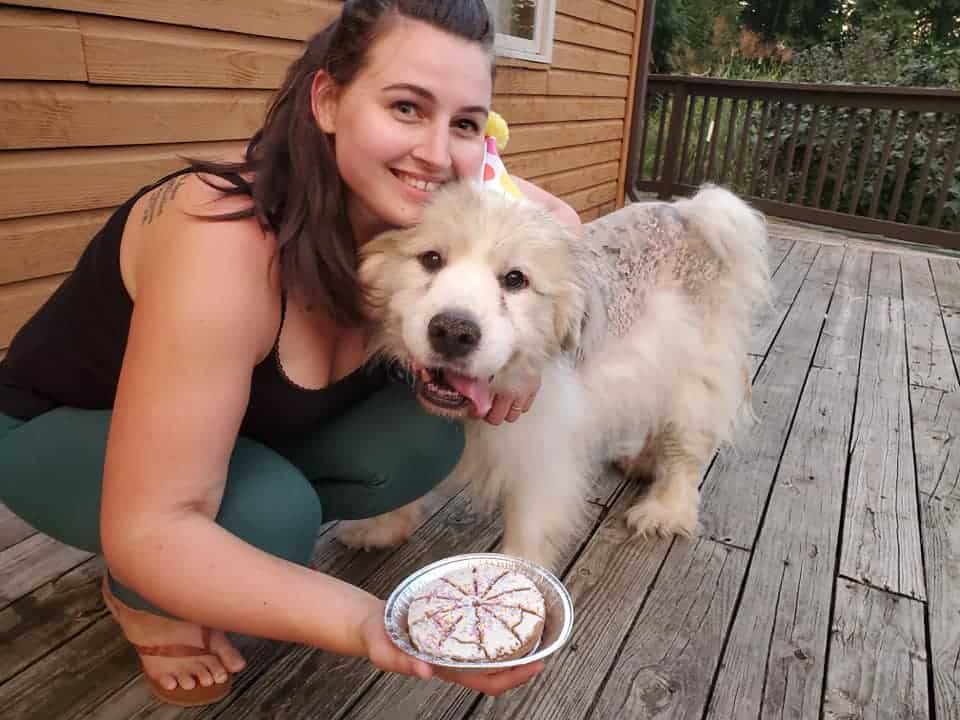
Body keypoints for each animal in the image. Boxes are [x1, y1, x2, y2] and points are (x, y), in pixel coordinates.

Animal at [334, 183, 768, 572]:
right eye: (431, 258)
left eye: (515, 279)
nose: (453, 332)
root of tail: (690, 212)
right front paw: (379, 527)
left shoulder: (543, 446)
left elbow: (531, 521)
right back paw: (641, 461)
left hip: (696, 374)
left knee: (686, 445)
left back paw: (665, 510)